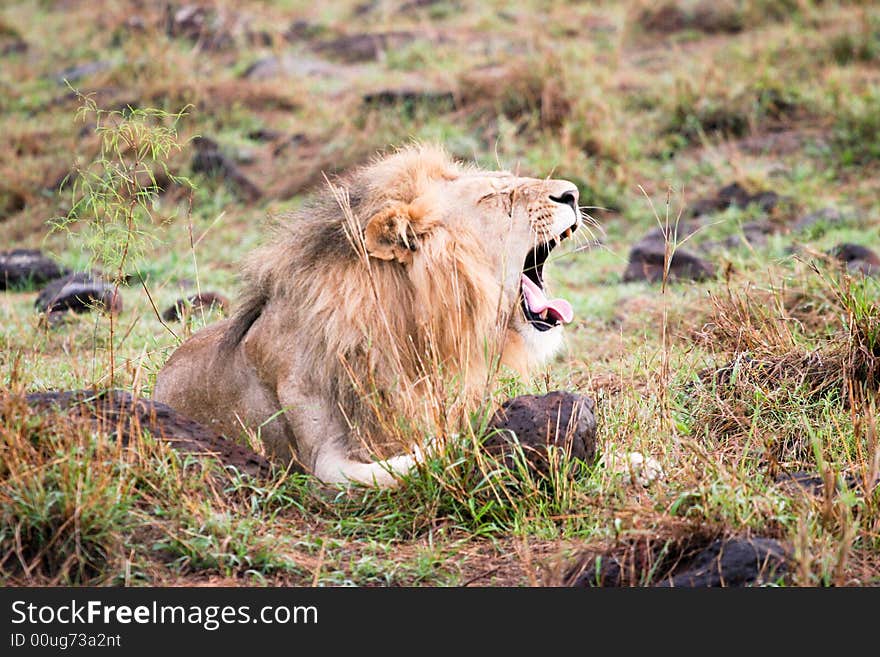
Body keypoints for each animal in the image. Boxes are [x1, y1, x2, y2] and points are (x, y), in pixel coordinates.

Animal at [153, 145, 584, 486]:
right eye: (497, 196)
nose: (573, 193)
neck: (410, 326)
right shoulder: (320, 459)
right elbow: (409, 462)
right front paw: (467, 440)